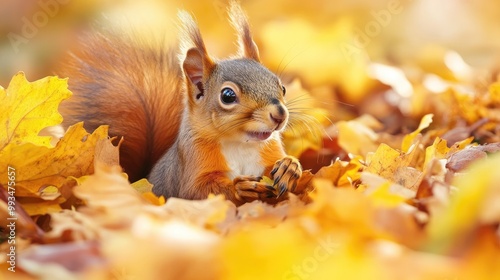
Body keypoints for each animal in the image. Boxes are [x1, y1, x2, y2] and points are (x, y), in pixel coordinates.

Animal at [57, 2, 302, 206]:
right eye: (228, 96)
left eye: (282, 87)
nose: (279, 115)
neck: (240, 144)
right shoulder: (192, 163)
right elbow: (197, 192)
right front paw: (240, 187)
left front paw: (289, 167)